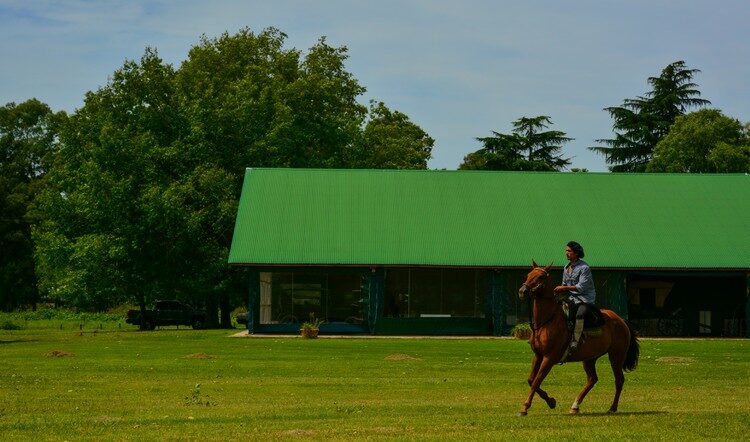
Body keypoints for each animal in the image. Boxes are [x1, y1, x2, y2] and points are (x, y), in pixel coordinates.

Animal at [516, 260, 640, 416]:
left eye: (540, 277)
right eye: (528, 275)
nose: (522, 291)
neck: (548, 321)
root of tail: (621, 320)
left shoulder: (549, 358)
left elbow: (537, 381)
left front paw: (524, 408)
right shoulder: (538, 355)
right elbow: (531, 380)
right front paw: (551, 401)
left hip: (616, 355)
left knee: (619, 380)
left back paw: (612, 408)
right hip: (590, 358)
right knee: (592, 379)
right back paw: (575, 406)